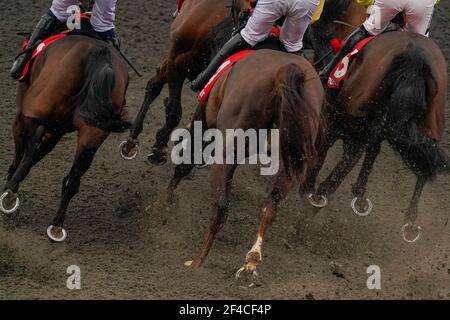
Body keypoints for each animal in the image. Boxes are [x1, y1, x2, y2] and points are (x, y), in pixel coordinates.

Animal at [0, 34, 130, 242]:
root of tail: (98, 52)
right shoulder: (57, 130)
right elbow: (36, 153)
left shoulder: (25, 116)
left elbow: (23, 155)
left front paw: (10, 186)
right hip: (92, 134)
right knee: (72, 179)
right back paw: (56, 226)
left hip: (32, 112)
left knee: (27, 151)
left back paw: (10, 196)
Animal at [165, 48, 324, 282]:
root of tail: (283, 72)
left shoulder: (203, 120)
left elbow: (185, 163)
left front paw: (161, 206)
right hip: (290, 164)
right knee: (270, 206)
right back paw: (251, 261)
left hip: (226, 152)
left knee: (221, 207)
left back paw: (197, 263)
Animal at [304, 30, 448, 242]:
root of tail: (415, 56)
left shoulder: (333, 119)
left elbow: (323, 159)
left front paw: (309, 192)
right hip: (432, 120)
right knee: (425, 160)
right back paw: (409, 220)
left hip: (353, 113)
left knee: (373, 143)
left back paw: (356, 194)